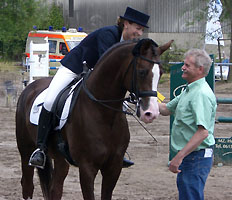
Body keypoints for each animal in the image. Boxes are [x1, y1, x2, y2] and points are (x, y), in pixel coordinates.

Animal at [15, 38, 172, 199]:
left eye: (161, 72)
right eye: (142, 72)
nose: (151, 112)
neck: (104, 114)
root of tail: (30, 87)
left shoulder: (113, 167)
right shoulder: (87, 167)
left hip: (60, 160)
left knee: (55, 189)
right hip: (26, 150)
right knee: (27, 185)